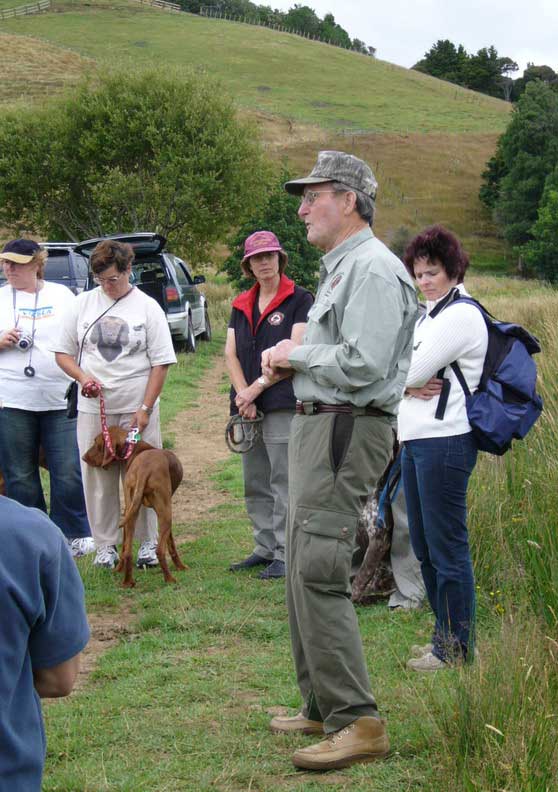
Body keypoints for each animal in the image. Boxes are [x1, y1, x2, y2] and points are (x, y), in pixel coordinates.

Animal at [81, 426, 186, 588]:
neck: (134, 448)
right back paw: (169, 579)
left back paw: (127, 582)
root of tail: (144, 469)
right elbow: (171, 543)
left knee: (127, 551)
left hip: (131, 513)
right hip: (166, 514)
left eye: (96, 443)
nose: (83, 457)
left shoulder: (128, 510)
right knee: (160, 550)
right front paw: (180, 566)